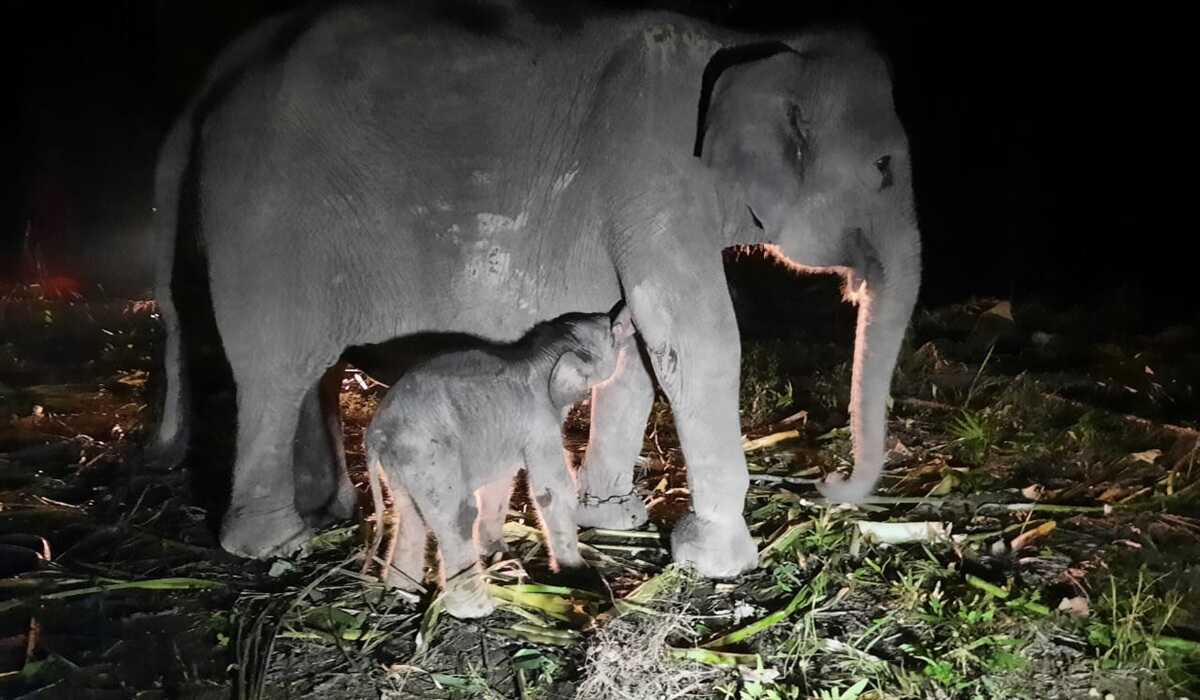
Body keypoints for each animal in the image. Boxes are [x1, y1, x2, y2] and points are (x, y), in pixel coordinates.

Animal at [151, 1, 921, 579]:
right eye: (885, 167)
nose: (827, 484)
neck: (747, 44)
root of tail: (209, 85)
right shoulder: (652, 173)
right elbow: (693, 340)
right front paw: (712, 557)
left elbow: (633, 350)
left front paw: (613, 515)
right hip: (267, 218)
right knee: (277, 365)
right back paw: (275, 541)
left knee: (315, 367)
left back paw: (328, 509)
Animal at [364, 306, 634, 619]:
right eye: (610, 332)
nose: (624, 311)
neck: (539, 356)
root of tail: (377, 434)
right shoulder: (540, 424)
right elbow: (553, 490)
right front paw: (578, 575)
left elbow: (500, 484)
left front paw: (499, 555)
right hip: (429, 457)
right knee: (458, 516)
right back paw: (478, 609)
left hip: (402, 465)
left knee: (410, 517)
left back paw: (401, 592)